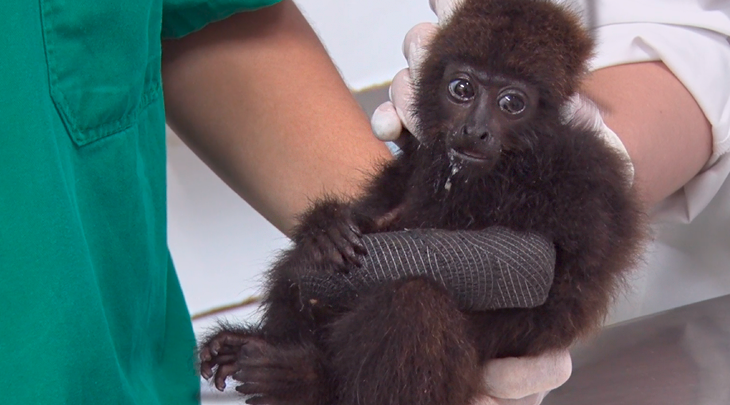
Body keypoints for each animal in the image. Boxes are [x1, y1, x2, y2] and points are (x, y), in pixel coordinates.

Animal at [198, 0, 644, 404]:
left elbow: (539, 283)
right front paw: (324, 228)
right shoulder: (419, 158)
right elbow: (371, 216)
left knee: (415, 303)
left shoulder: (581, 185)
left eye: (512, 103)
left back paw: (305, 380)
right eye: (461, 89)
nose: (475, 130)